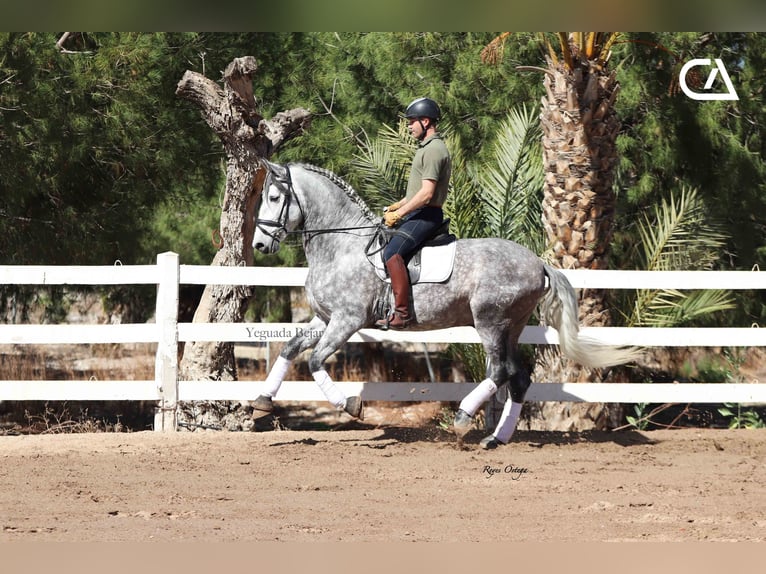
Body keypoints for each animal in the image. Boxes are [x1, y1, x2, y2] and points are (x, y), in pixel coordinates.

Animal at [249, 161, 640, 450]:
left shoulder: (348, 320)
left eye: (274, 196)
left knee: (499, 372)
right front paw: (261, 402)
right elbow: (290, 348)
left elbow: (315, 361)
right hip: (511, 327)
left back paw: (463, 419)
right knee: (518, 379)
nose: (258, 245)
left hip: (490, 321)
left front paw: (351, 405)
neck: (342, 246)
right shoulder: (323, 318)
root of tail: (538, 263)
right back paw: (495, 438)